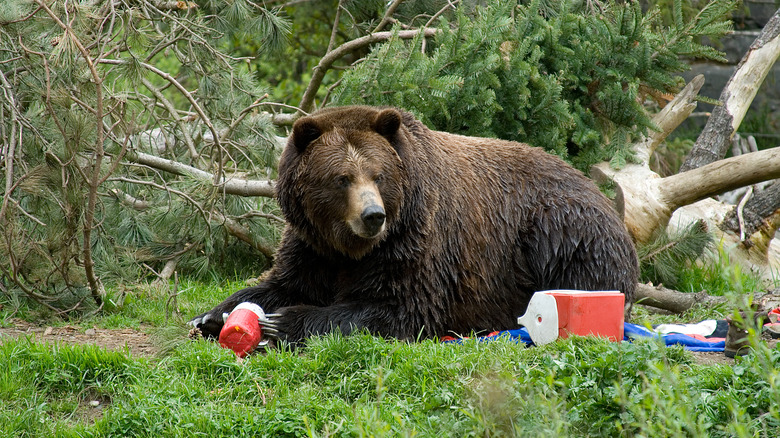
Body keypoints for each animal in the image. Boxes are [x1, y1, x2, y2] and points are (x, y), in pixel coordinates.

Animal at [189, 105, 639, 344]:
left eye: (378, 174)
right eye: (342, 178)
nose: (373, 216)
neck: (351, 247)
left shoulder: (415, 240)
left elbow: (400, 307)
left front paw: (285, 321)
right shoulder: (311, 244)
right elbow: (282, 280)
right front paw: (211, 316)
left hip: (559, 230)